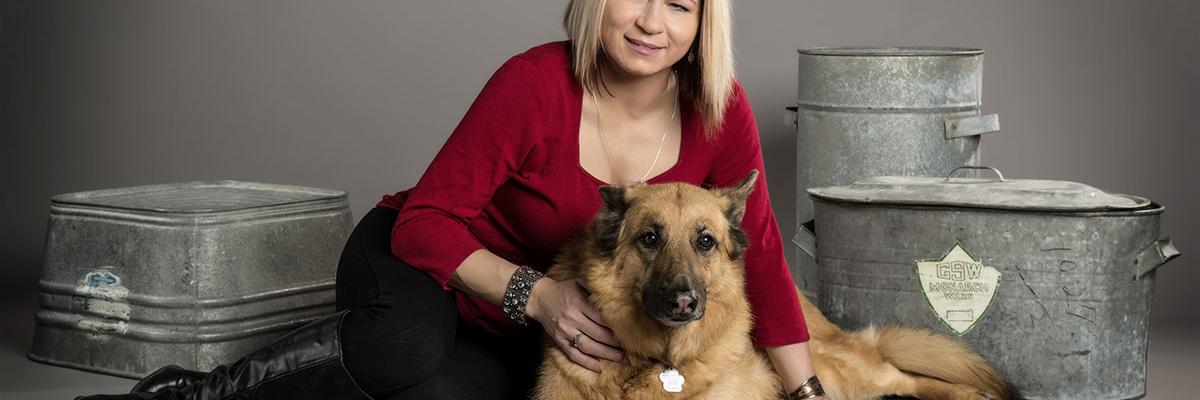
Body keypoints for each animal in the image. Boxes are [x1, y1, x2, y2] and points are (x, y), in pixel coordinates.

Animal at [532, 169, 1012, 396]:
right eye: (650, 238)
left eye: (705, 241)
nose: (684, 302)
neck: (660, 361)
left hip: (831, 364)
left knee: (901, 378)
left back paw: (969, 395)